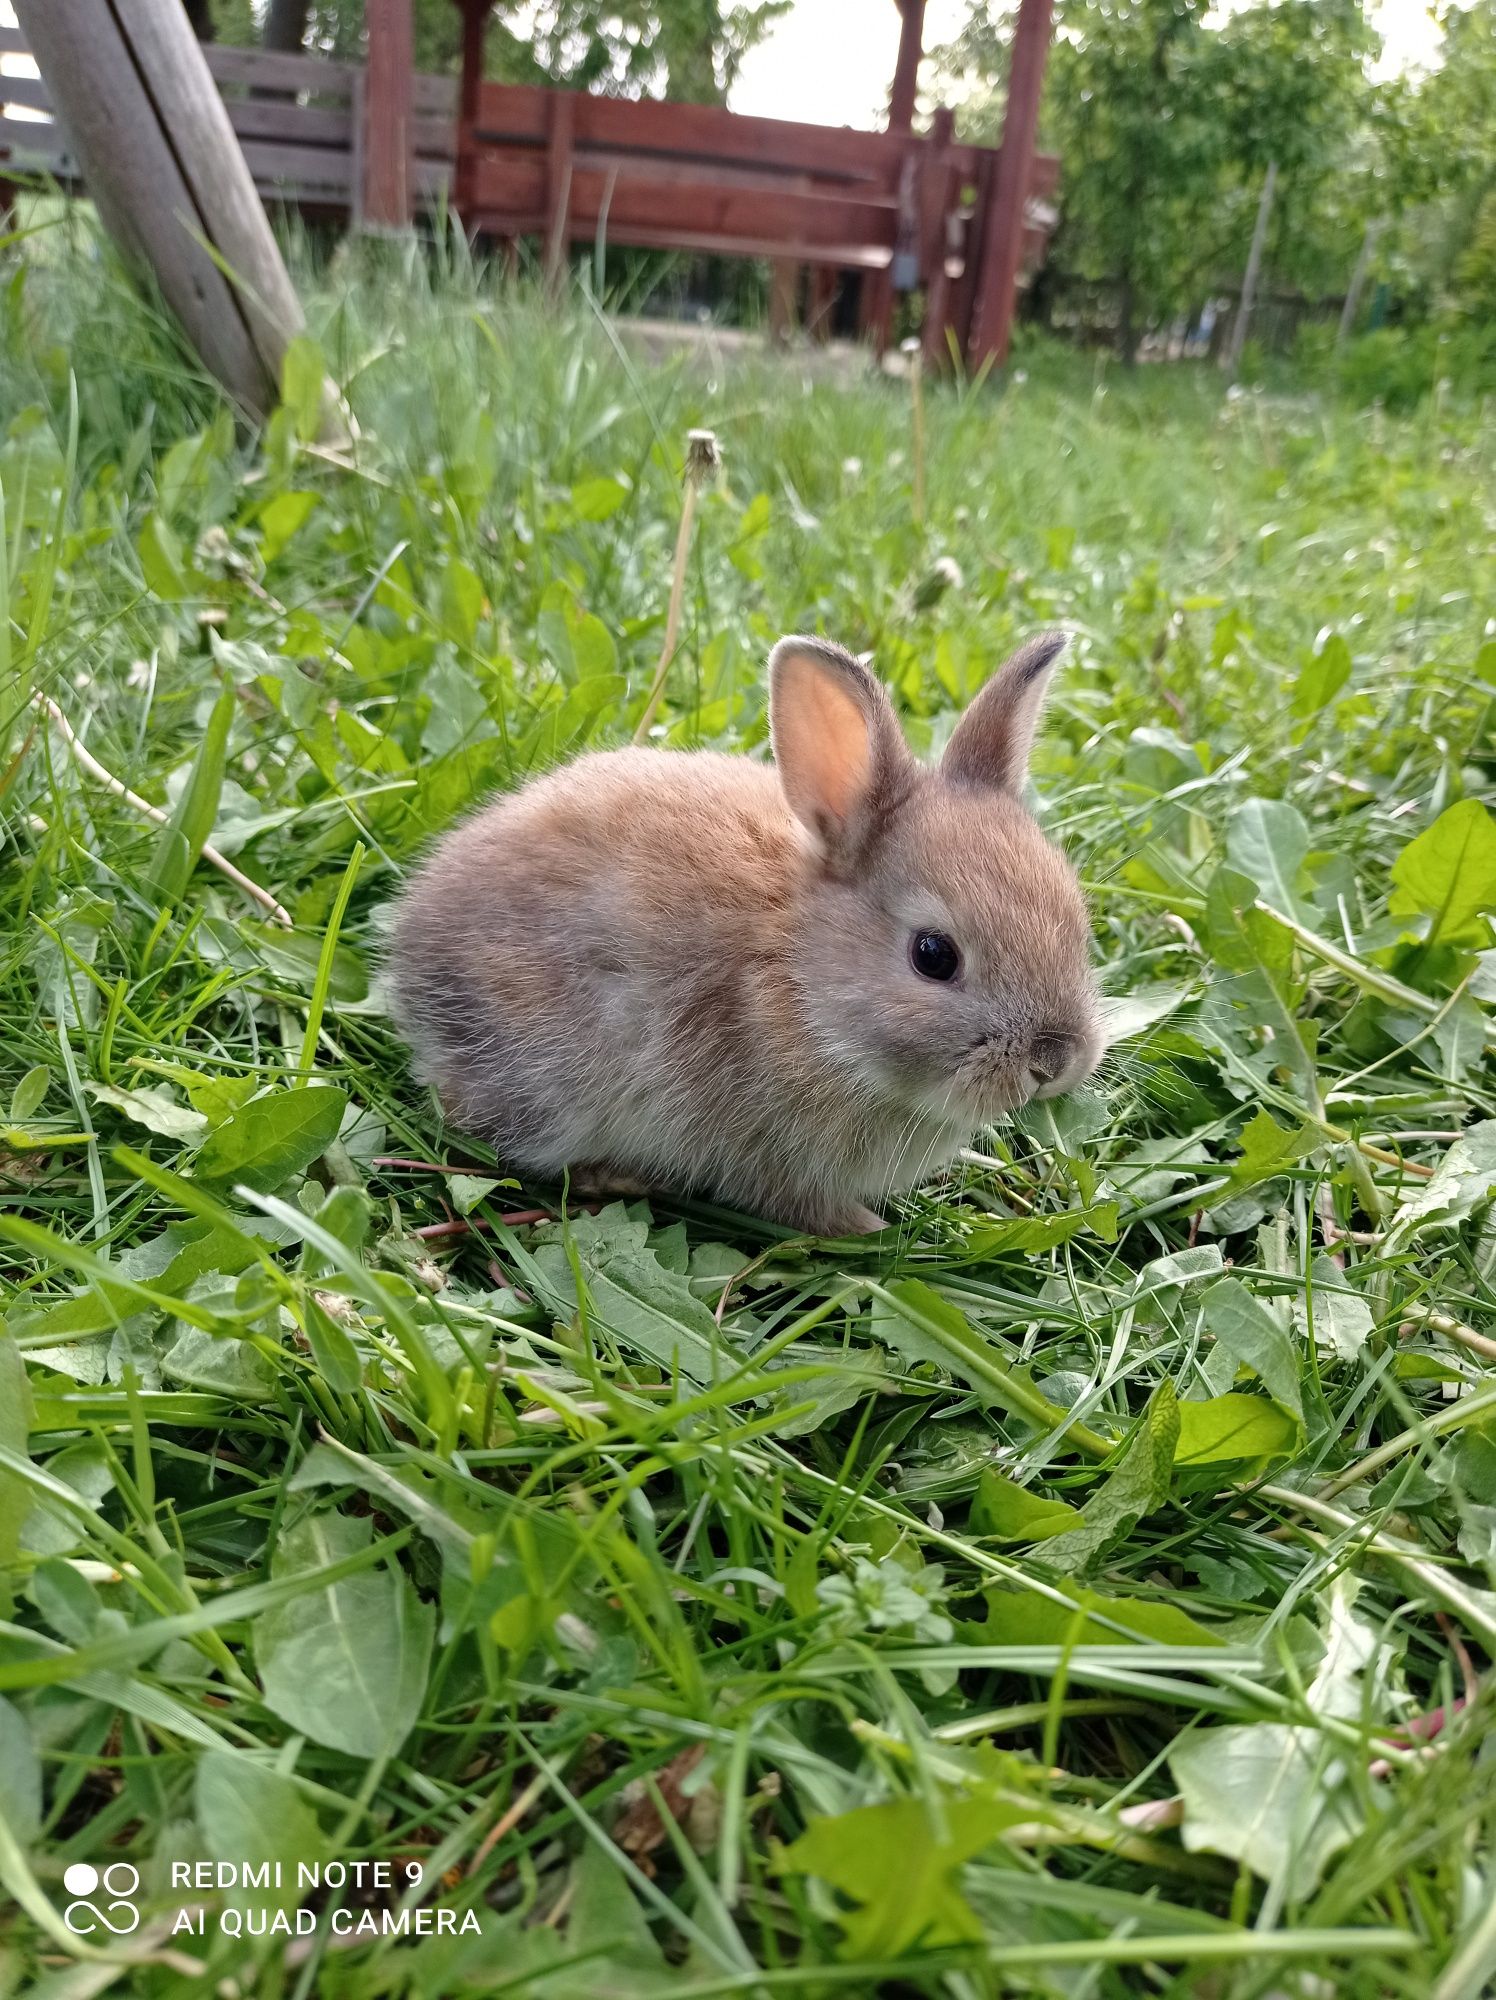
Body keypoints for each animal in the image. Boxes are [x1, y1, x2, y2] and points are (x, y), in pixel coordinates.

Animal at [392, 636, 1104, 1232]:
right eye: (933, 956)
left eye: (1077, 921)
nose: (1053, 1061)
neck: (802, 983)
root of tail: (408, 951)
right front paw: (867, 1229)